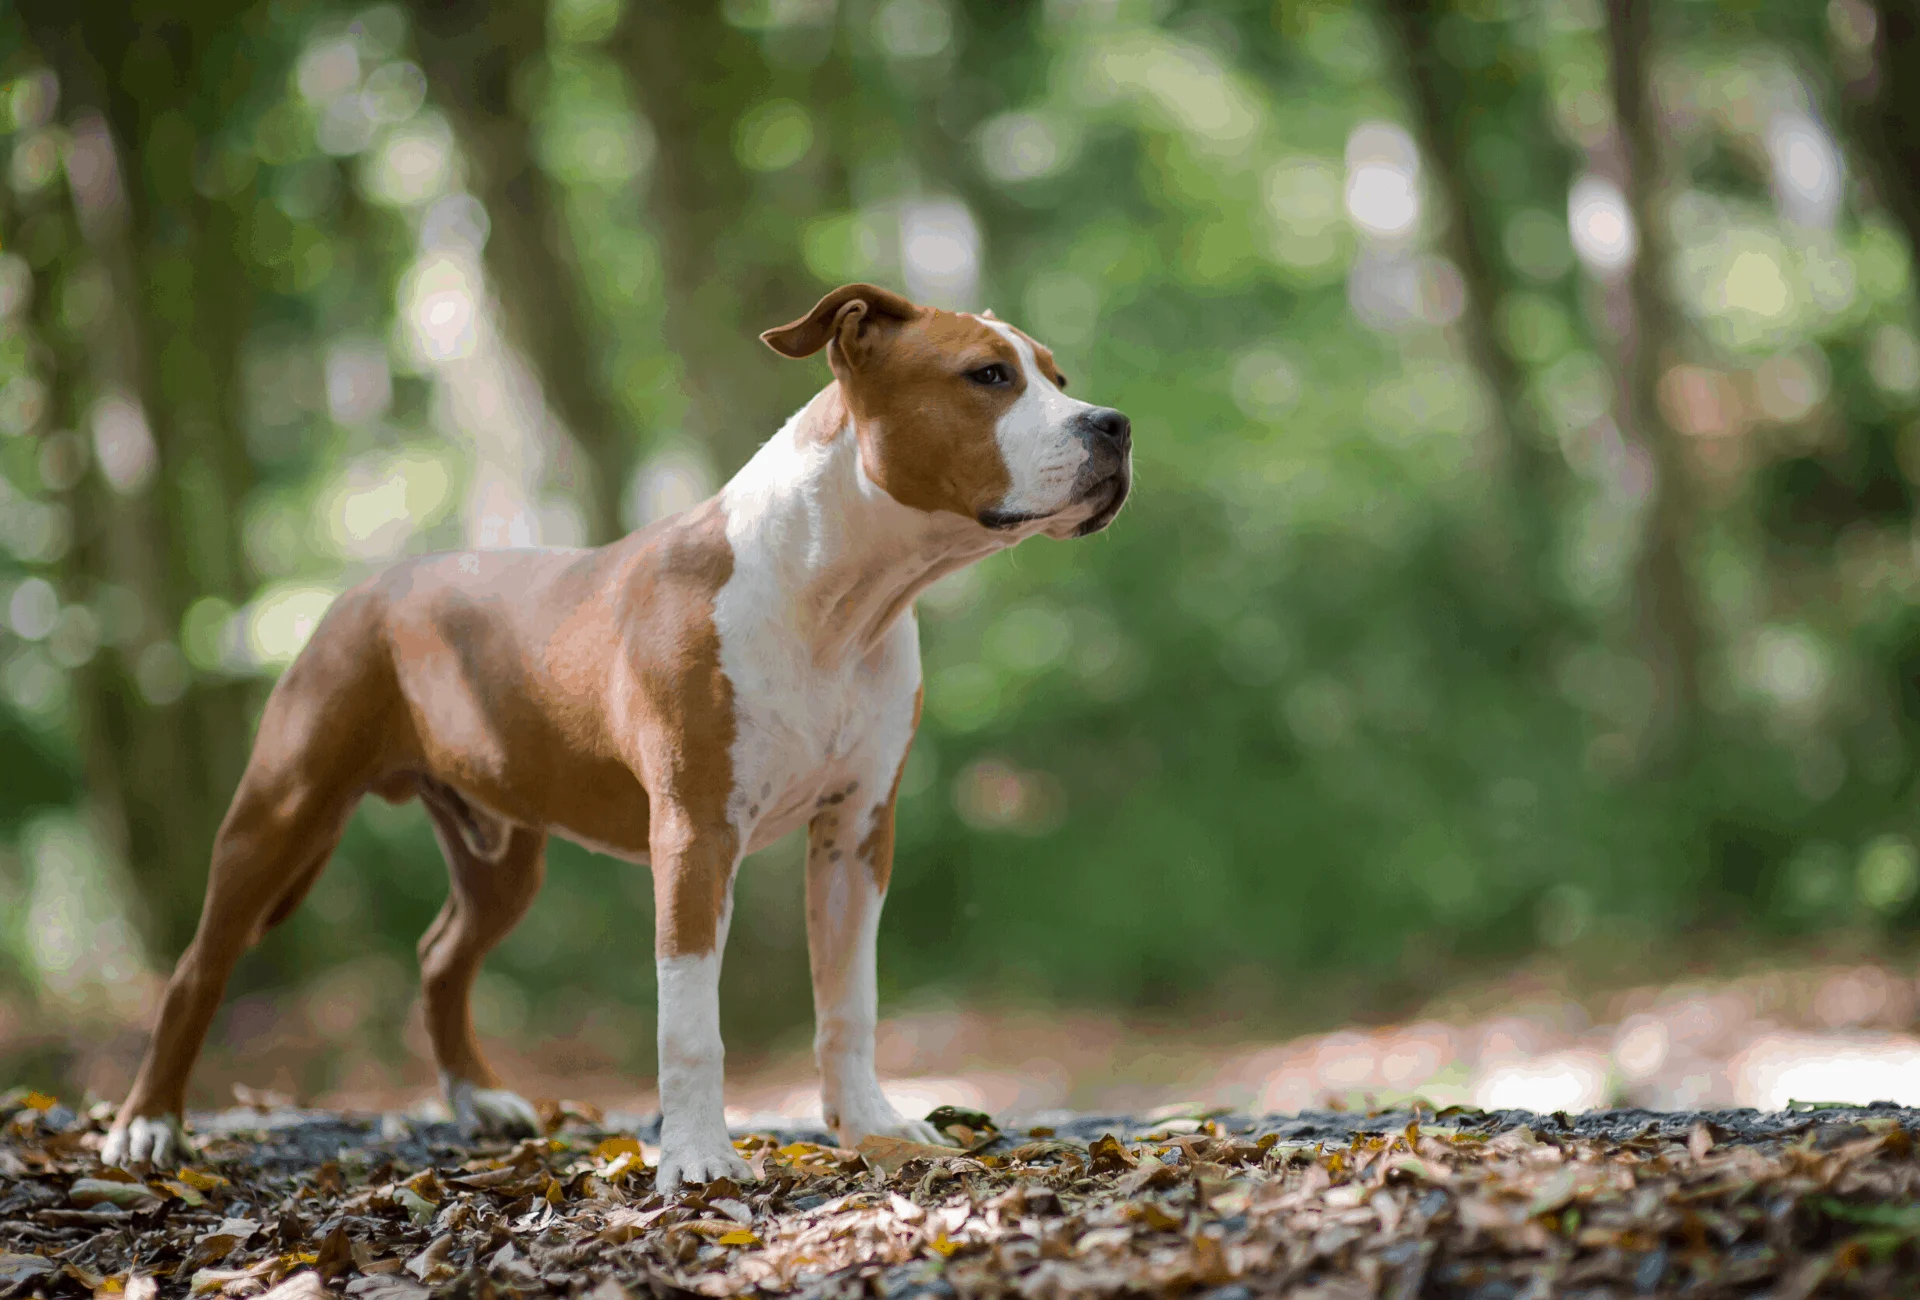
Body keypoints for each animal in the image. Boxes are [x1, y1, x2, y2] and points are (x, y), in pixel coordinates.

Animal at [105, 282, 1121, 1182]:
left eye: (1059, 377)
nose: (1113, 424)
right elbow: (691, 1020)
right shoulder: (696, 833)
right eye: (987, 376)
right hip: (282, 810)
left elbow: (848, 1001)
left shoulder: (857, 830)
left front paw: (871, 1127)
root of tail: (367, 587)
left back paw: (479, 1098)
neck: (841, 595)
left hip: (503, 853)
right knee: (198, 968)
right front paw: (700, 1160)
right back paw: (148, 1126)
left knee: (441, 956)